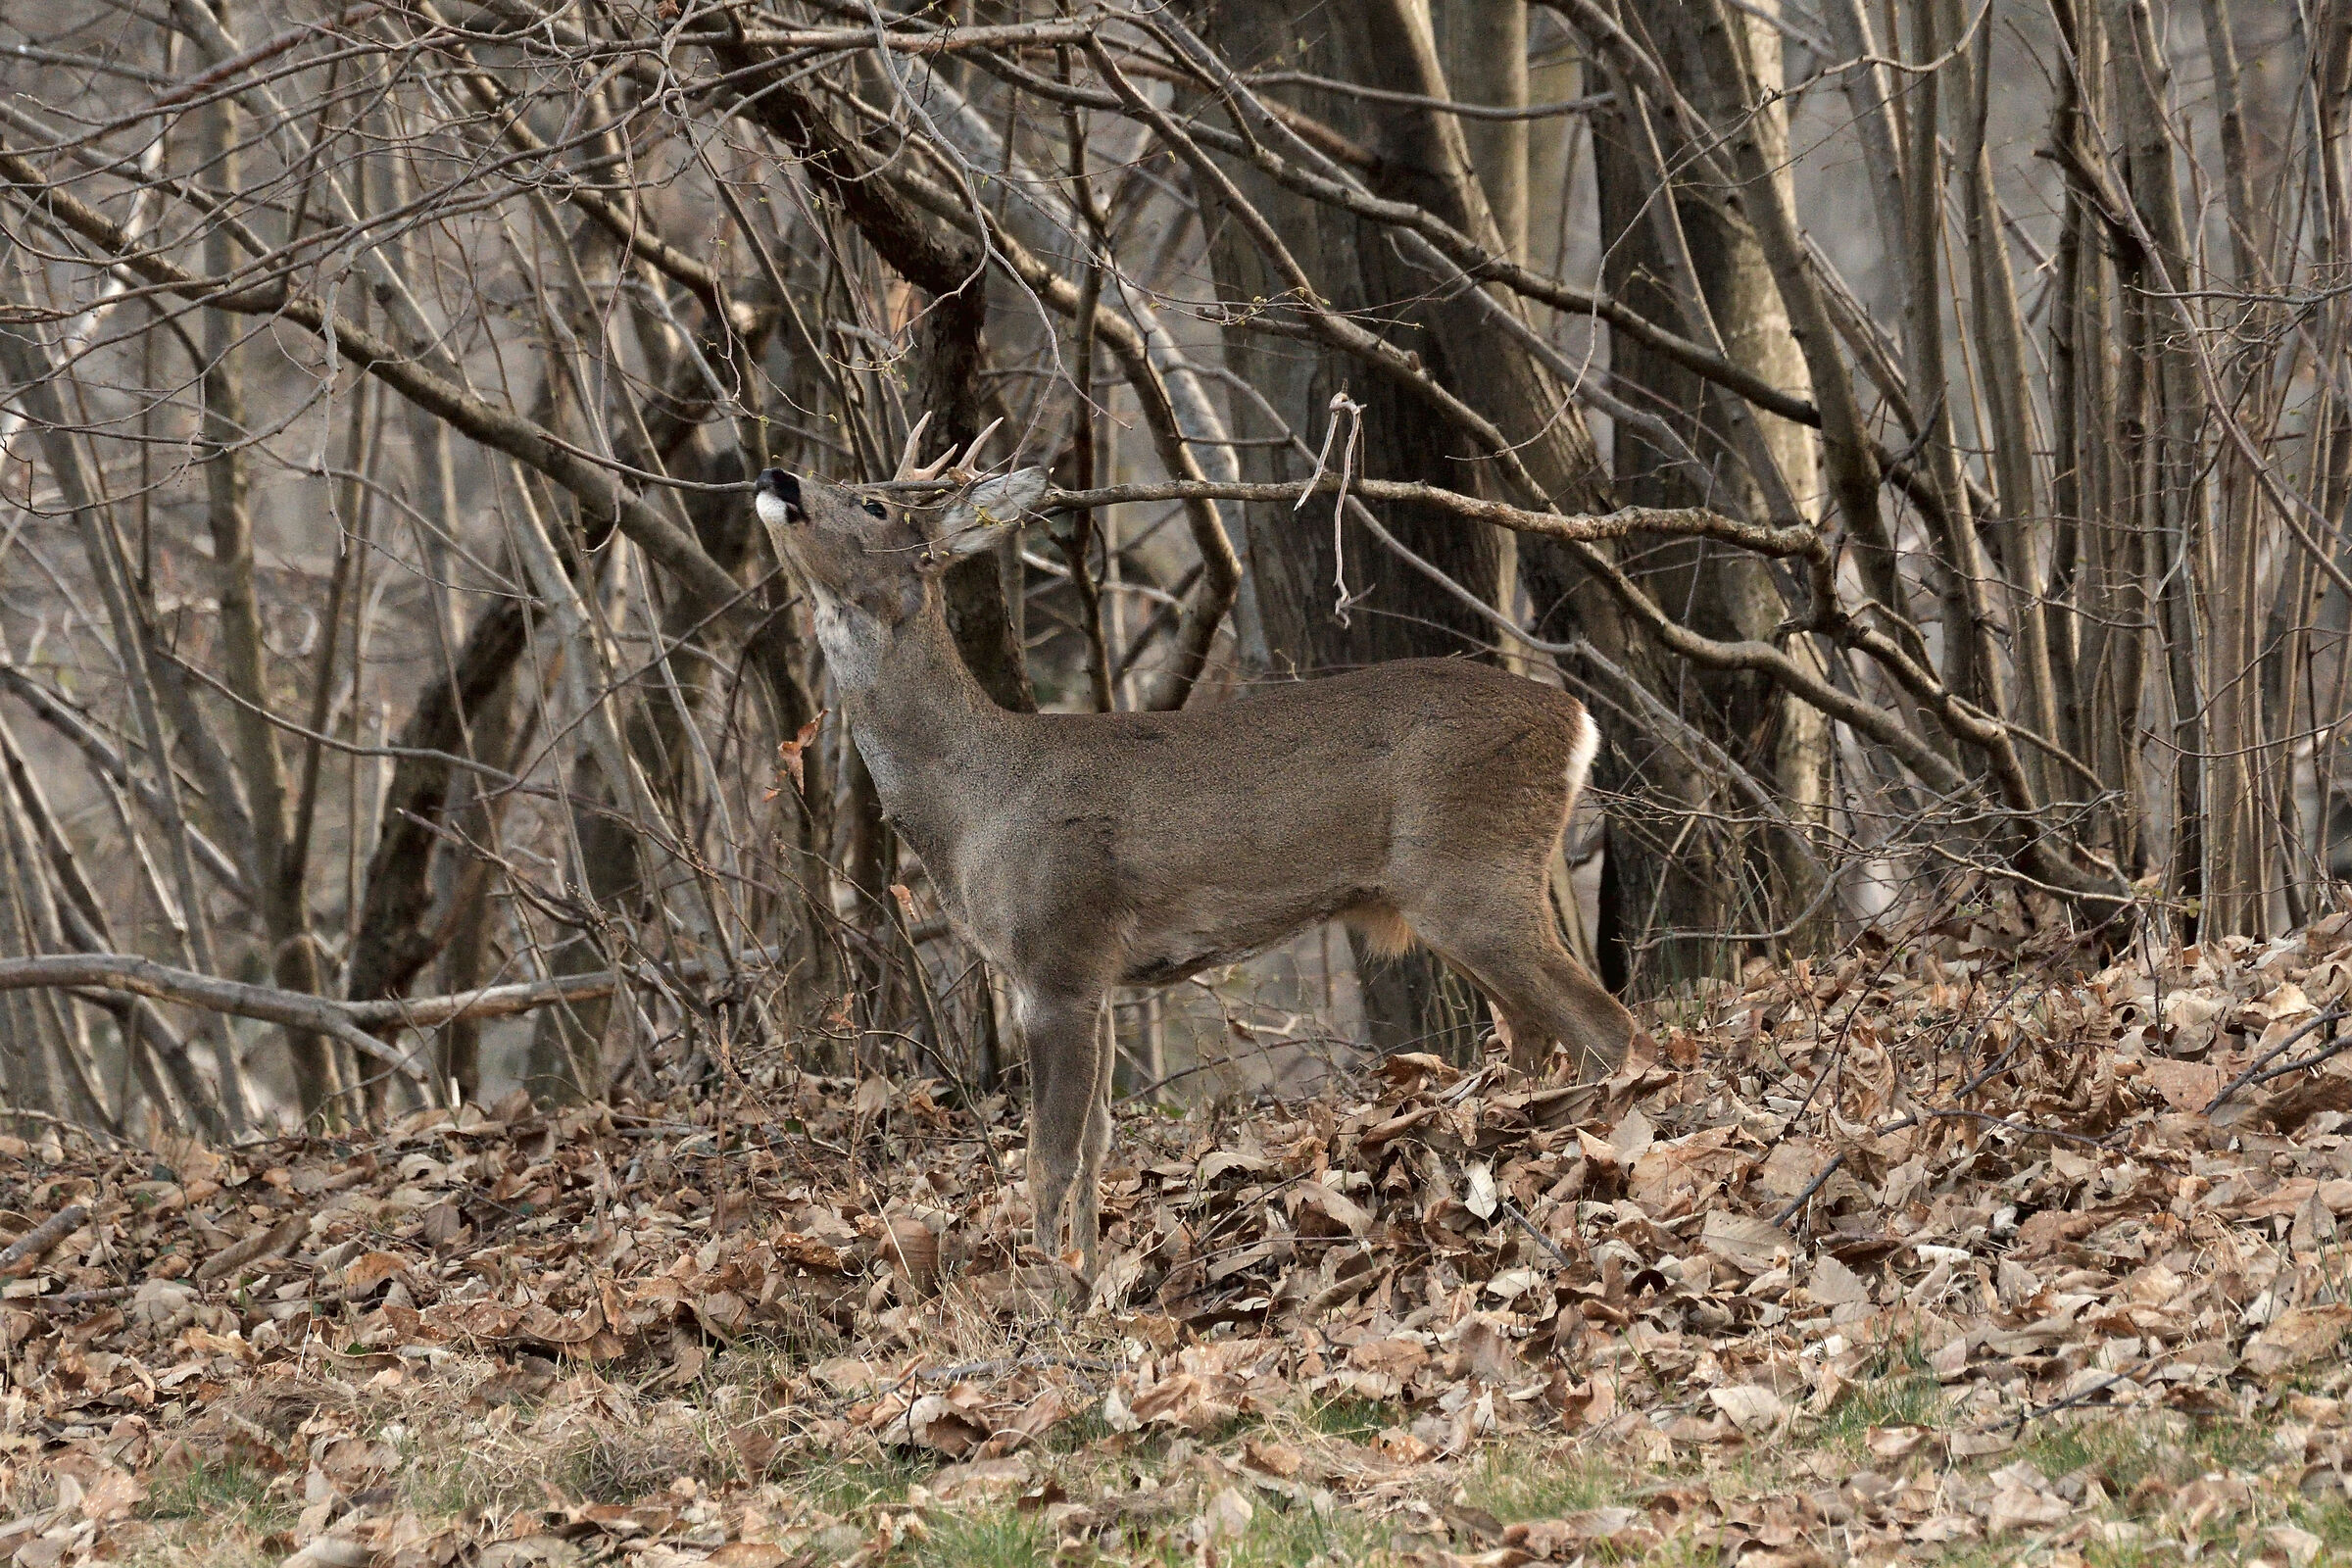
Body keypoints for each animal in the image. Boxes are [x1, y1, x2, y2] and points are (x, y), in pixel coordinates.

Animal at [754, 455, 1639, 1277]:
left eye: (873, 504)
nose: (777, 475)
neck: (974, 799)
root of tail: (1577, 718)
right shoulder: (1099, 978)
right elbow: (1097, 1143)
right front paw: (1091, 1285)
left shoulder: (1056, 955)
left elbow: (1049, 1157)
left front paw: (1045, 1302)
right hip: (1468, 889)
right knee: (1535, 1032)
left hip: (1471, 873)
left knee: (1603, 1023)